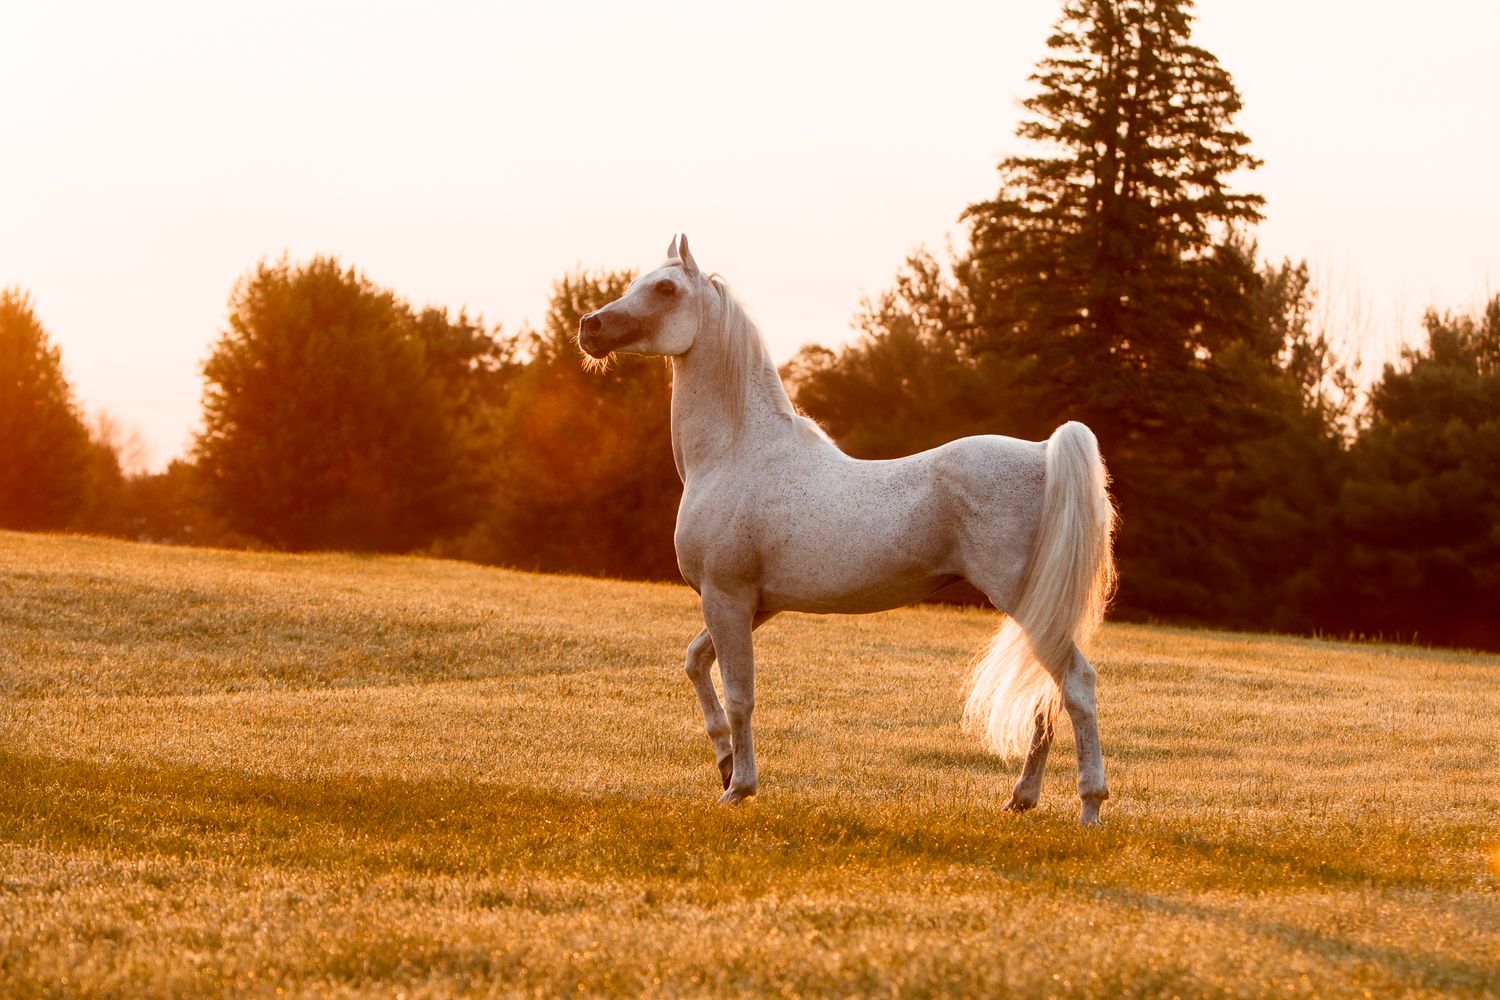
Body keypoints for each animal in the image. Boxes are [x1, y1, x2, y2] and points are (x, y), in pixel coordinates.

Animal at [578, 235, 1118, 825]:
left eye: (666, 288)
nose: (590, 327)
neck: (734, 453)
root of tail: (1045, 452)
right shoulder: (756, 604)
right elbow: (697, 663)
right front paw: (723, 763)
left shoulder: (727, 596)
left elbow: (741, 693)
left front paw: (738, 787)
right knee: (1048, 692)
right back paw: (1021, 798)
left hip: (1025, 601)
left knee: (1078, 684)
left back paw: (1089, 807)